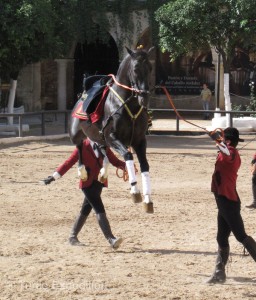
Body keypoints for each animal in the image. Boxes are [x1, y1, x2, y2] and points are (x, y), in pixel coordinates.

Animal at [69, 47, 155, 212]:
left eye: (150, 68)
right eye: (135, 68)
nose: (145, 97)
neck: (127, 105)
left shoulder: (139, 140)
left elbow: (145, 165)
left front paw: (148, 199)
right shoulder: (113, 137)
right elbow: (128, 155)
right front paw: (135, 191)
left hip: (100, 137)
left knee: (102, 151)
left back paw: (103, 172)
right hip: (76, 134)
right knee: (80, 147)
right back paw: (82, 171)